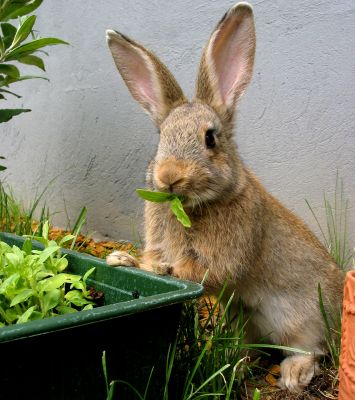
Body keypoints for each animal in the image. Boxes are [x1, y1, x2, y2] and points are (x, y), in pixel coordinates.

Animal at [105, 1, 344, 392]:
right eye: (161, 137)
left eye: (210, 138)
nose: (169, 176)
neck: (193, 206)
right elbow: (150, 258)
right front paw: (120, 260)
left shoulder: (227, 254)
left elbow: (197, 271)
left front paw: (158, 268)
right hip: (241, 319)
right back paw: (234, 364)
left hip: (303, 318)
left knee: (312, 348)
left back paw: (293, 374)